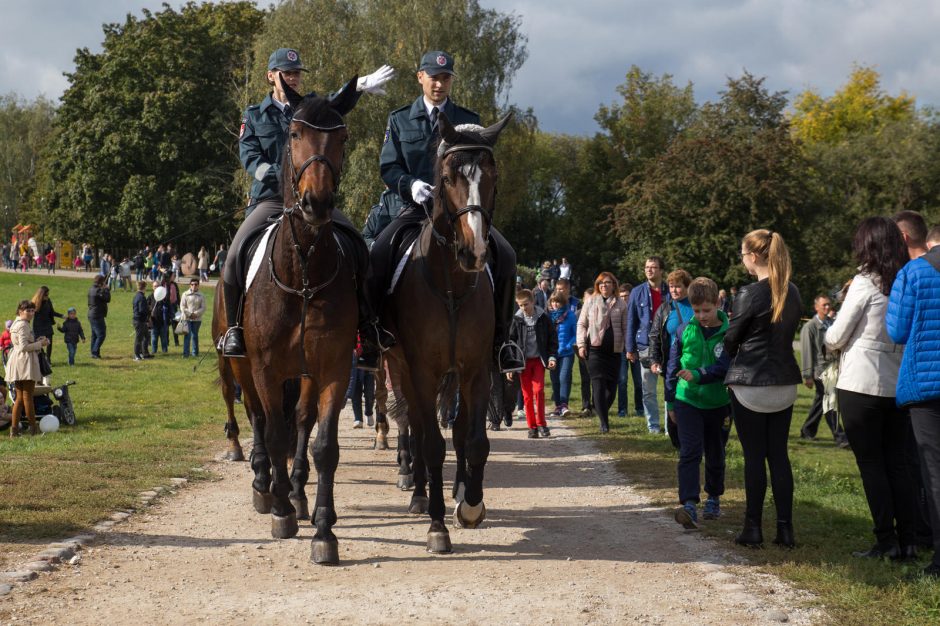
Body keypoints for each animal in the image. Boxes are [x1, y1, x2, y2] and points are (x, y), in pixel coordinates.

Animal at [213, 78, 360, 564]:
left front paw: (323, 530)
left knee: (296, 421)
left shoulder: (330, 369)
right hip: (238, 363)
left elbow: (322, 444)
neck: (304, 271)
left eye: (342, 137)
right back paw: (265, 484)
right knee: (256, 417)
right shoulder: (263, 367)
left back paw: (293, 492)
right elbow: (274, 432)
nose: (317, 202)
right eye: (294, 134)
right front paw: (280, 510)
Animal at [384, 111, 516, 552]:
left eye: (493, 175)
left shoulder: (476, 369)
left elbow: (472, 440)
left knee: (457, 432)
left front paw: (471, 505)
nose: (473, 252)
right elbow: (431, 443)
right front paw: (437, 525)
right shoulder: (421, 372)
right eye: (446, 176)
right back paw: (421, 495)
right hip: (400, 368)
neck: (452, 285)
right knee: (415, 425)